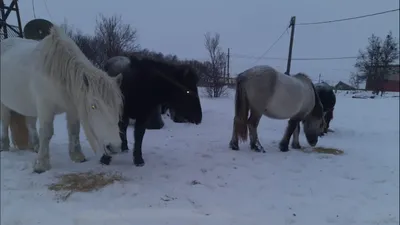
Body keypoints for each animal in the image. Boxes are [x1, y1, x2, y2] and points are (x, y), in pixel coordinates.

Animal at [0, 24, 123, 173]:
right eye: (93, 106)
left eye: (118, 106)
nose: (115, 147)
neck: (58, 73)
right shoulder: (45, 106)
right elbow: (46, 133)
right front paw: (41, 164)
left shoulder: (72, 109)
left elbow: (74, 130)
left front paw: (77, 156)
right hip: (4, 104)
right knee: (5, 122)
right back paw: (4, 147)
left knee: (30, 124)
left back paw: (35, 146)